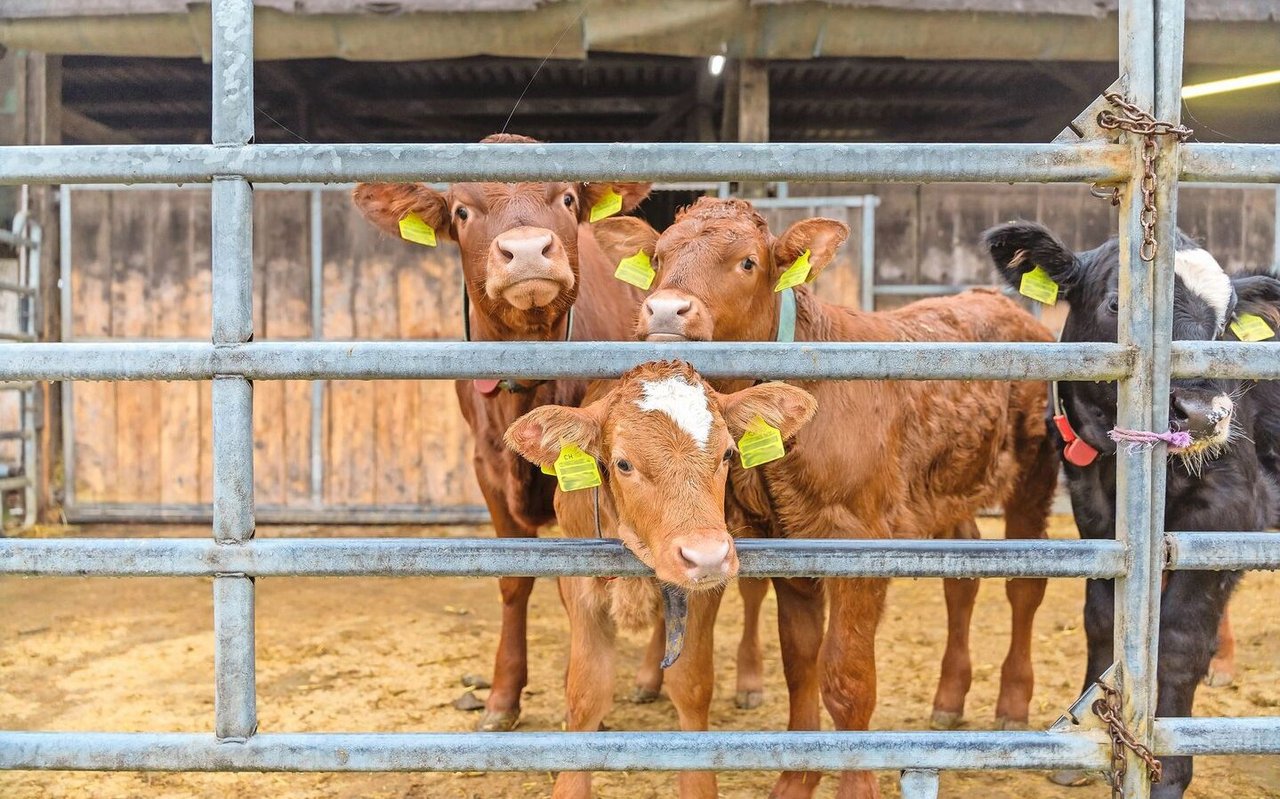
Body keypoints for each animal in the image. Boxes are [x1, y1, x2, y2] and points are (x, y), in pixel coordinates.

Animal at [353, 135, 645, 732]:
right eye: (462, 212)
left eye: (567, 199)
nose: (528, 251)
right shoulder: (484, 465)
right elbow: (515, 579)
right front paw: (503, 696)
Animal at [504, 361, 814, 799]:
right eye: (623, 464)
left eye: (728, 453)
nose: (707, 555)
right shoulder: (580, 586)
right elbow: (586, 690)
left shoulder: (704, 590)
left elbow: (692, 685)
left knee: (753, 595)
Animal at [977, 220, 1280, 799]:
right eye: (1118, 303)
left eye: (1227, 325)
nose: (1203, 414)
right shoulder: (1094, 513)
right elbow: (1102, 621)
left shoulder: (1231, 508)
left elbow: (1181, 639)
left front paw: (1169, 770)